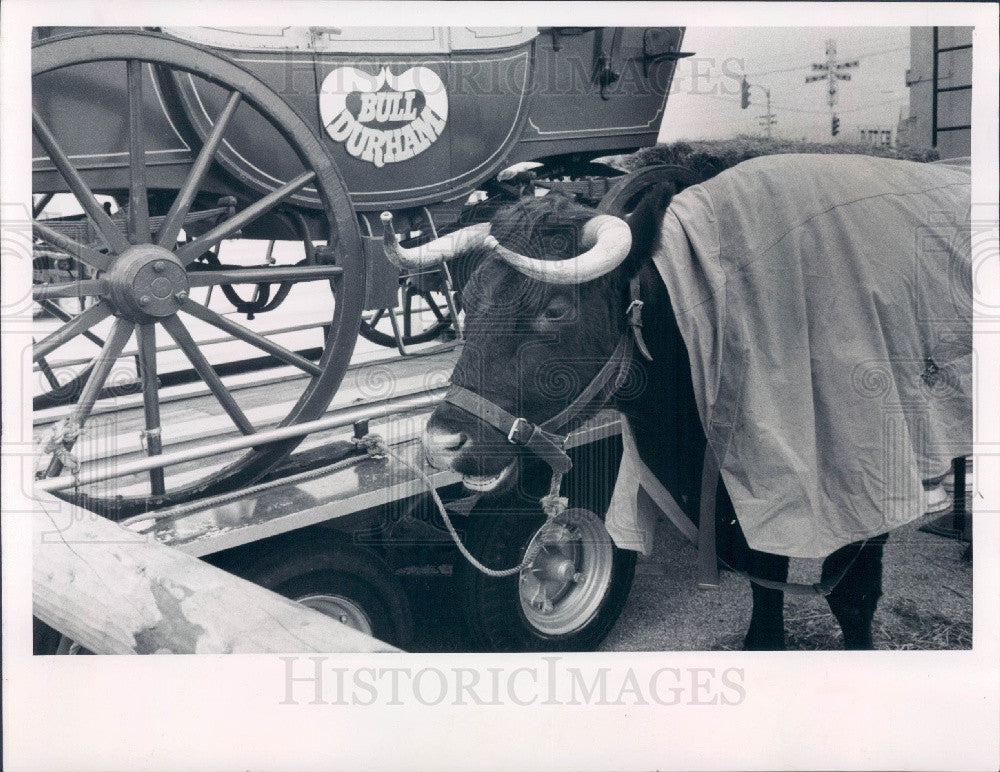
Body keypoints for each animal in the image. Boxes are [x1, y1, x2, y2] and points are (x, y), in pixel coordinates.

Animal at [380, 154, 968, 648]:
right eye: (470, 298)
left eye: (555, 309)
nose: (442, 440)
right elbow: (765, 587)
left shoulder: (867, 487)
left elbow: (852, 597)